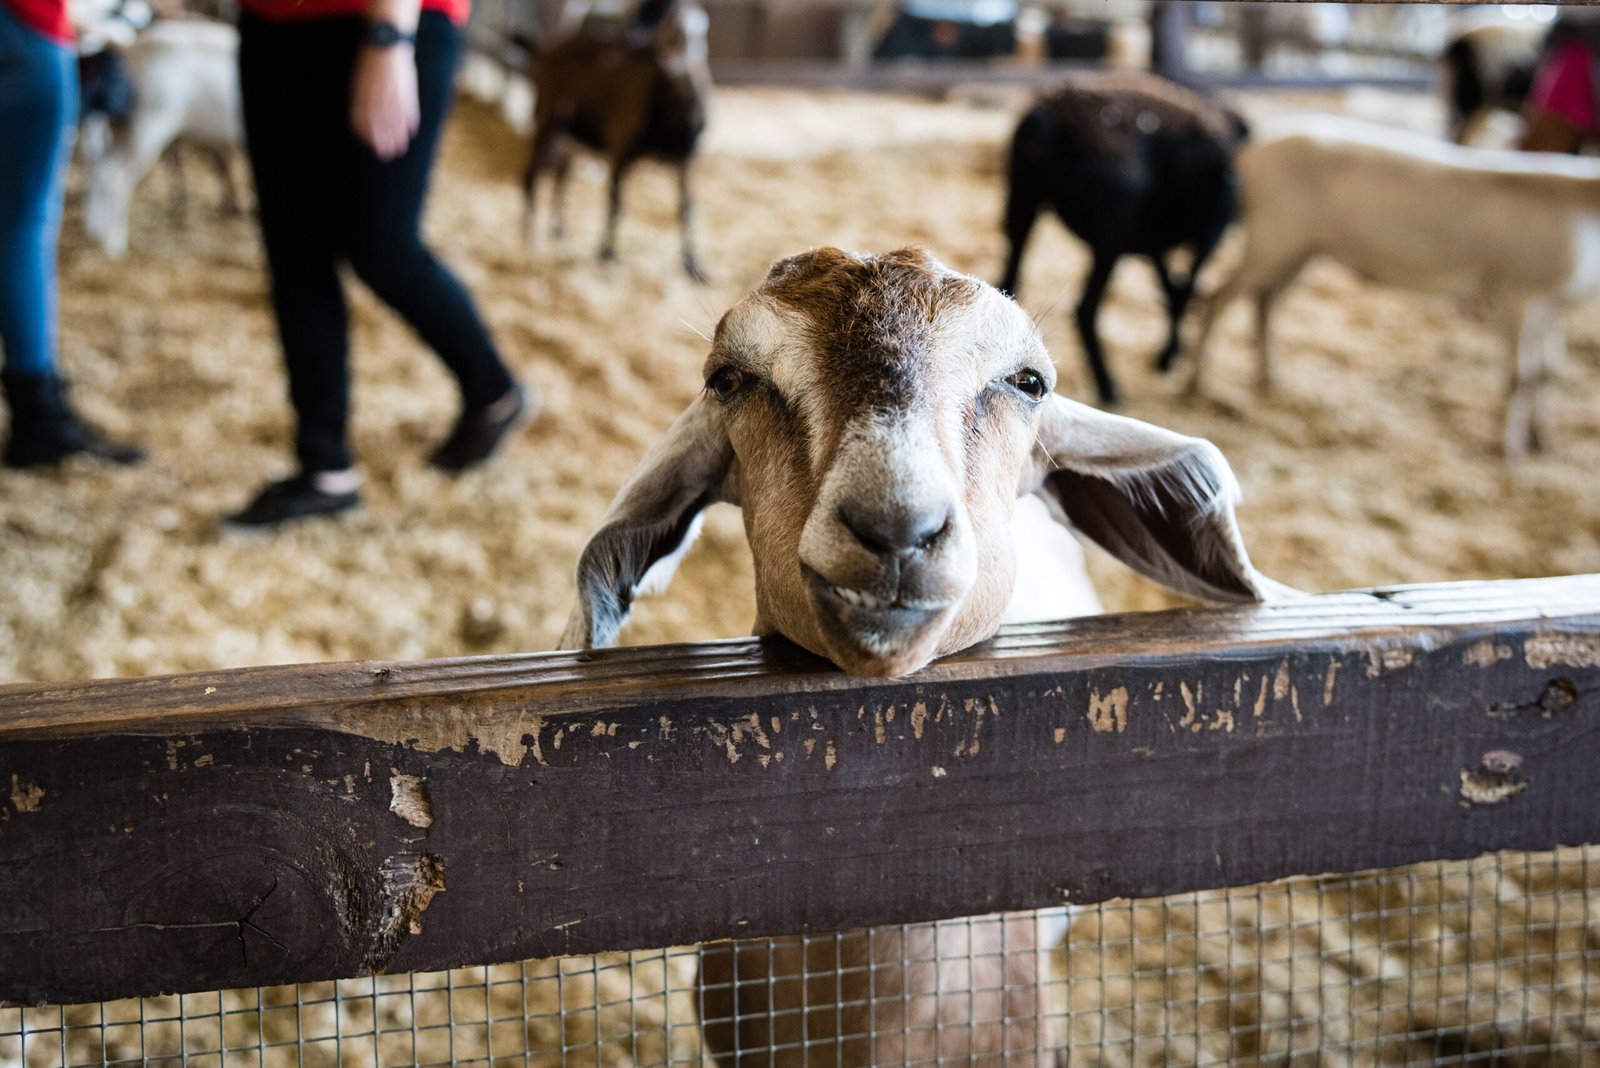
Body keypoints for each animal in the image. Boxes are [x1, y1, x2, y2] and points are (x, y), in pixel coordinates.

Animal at [83, 19, 244, 260]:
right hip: (147, 127)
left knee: (102, 168)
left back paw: (98, 231)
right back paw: (114, 244)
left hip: (126, 130)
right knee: (115, 175)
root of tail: (131, 48)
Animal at [521, 0, 710, 283]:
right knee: (531, 174)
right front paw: (606, 255)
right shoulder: (620, 149)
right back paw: (529, 238)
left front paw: (693, 265)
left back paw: (559, 230)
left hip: (569, 138)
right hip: (546, 118)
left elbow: (686, 207)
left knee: (562, 175)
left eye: (669, 16)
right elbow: (616, 202)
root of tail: (548, 49)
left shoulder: (687, 158)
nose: (632, 35)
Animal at [997, 72, 1247, 407]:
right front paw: (1168, 357)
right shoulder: (1205, 235)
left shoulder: (1152, 240)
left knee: (1010, 283)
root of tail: (1047, 121)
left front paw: (1168, 356)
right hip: (1109, 238)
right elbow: (1183, 291)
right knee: (1085, 310)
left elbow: (1172, 290)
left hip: (1023, 205)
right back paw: (1108, 387)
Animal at [1184, 114, 1600, 457]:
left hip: (1302, 248)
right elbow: (1520, 376)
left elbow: (1547, 371)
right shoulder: (1517, 291)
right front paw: (1510, 450)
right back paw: (1198, 384)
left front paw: (1541, 440)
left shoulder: (1551, 302)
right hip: (1273, 237)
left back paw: (1270, 379)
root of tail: (1249, 151)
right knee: (1218, 299)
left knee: (1265, 301)